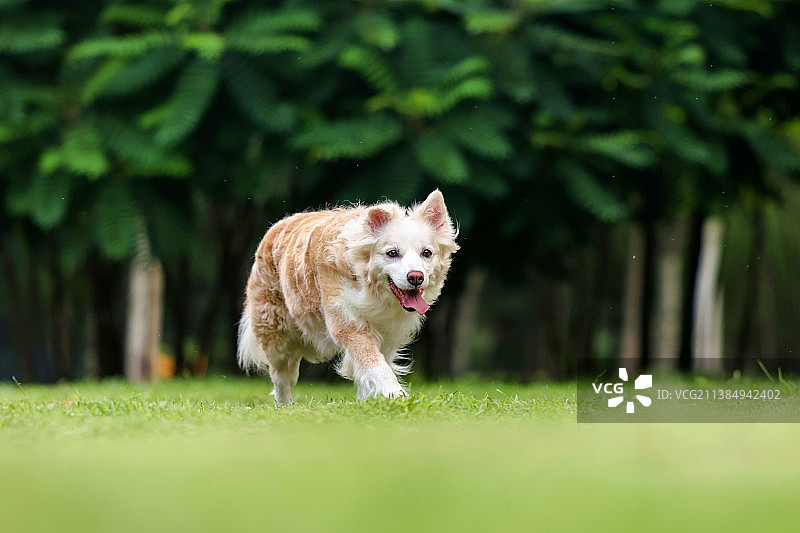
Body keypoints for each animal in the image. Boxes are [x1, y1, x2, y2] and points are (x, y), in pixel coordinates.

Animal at [238, 189, 460, 402]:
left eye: (426, 253)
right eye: (392, 253)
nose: (416, 277)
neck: (374, 292)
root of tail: (276, 226)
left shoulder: (388, 335)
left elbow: (374, 365)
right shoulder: (348, 322)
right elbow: (374, 363)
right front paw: (394, 393)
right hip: (275, 333)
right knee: (281, 375)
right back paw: (285, 404)